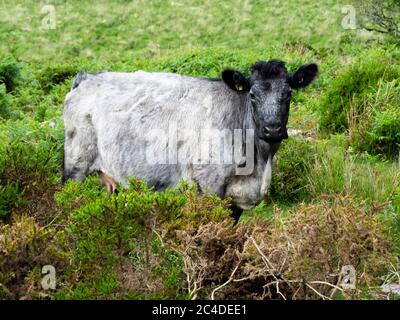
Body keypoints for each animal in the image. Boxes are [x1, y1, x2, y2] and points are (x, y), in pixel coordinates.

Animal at [61, 59, 318, 220]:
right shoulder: (210, 187)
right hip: (75, 165)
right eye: (253, 95)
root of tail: (87, 77)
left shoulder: (234, 199)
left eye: (288, 93)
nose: (272, 129)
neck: (259, 163)